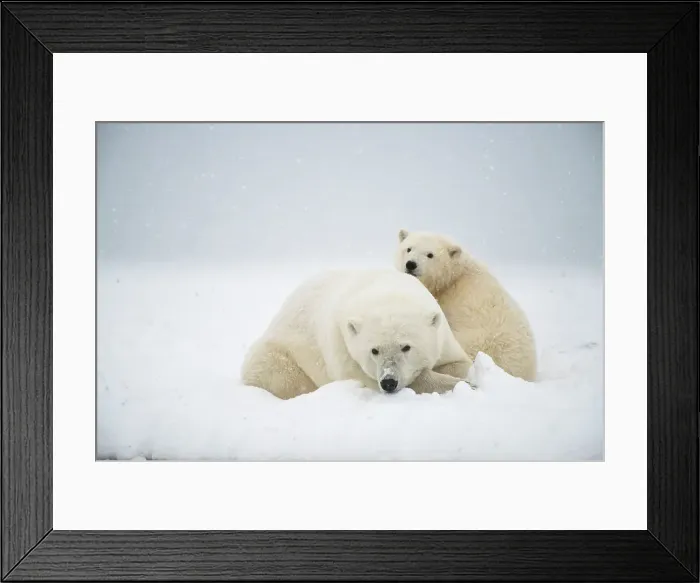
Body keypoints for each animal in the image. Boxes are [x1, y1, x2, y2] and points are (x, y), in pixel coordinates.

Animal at [240, 268, 475, 400]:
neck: (386, 291)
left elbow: (456, 361)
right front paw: (467, 385)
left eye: (406, 347)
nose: (389, 382)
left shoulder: (442, 337)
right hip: (280, 357)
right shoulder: (344, 348)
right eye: (374, 350)